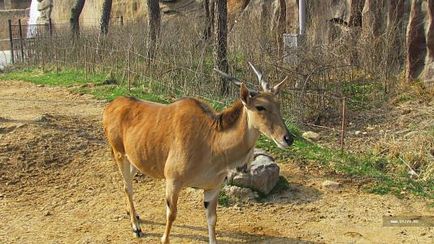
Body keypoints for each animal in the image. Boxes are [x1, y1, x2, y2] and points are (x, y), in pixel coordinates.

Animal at [103, 62, 294, 242]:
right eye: (260, 107)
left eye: (278, 105)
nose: (288, 138)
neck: (211, 141)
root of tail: (111, 105)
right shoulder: (173, 182)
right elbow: (171, 216)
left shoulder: (212, 188)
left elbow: (212, 219)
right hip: (120, 154)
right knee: (127, 187)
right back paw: (136, 227)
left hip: (135, 160)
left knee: (127, 183)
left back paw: (134, 215)